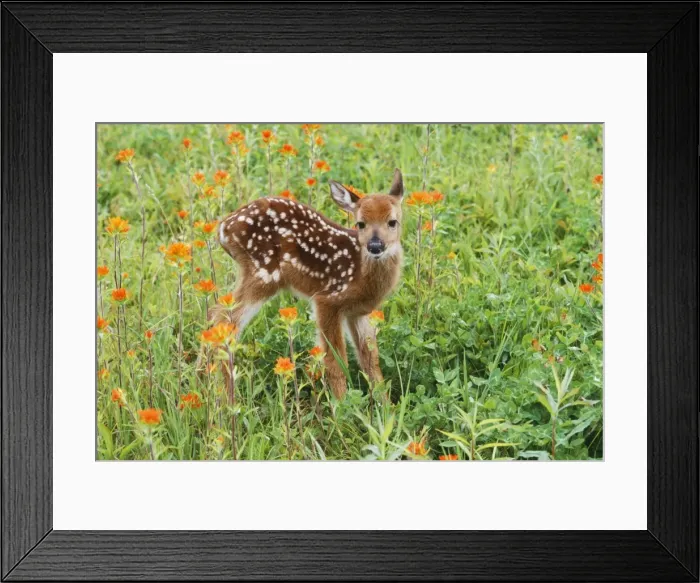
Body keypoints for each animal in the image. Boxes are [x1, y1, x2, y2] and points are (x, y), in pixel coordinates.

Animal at [209, 168, 405, 399]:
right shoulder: (328, 300)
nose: (375, 246)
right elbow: (336, 362)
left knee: (217, 315)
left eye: (392, 222)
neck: (360, 273)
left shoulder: (358, 312)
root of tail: (223, 229)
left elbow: (371, 361)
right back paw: (226, 398)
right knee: (223, 318)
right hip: (263, 272)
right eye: (360, 223)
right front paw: (342, 405)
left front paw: (385, 406)